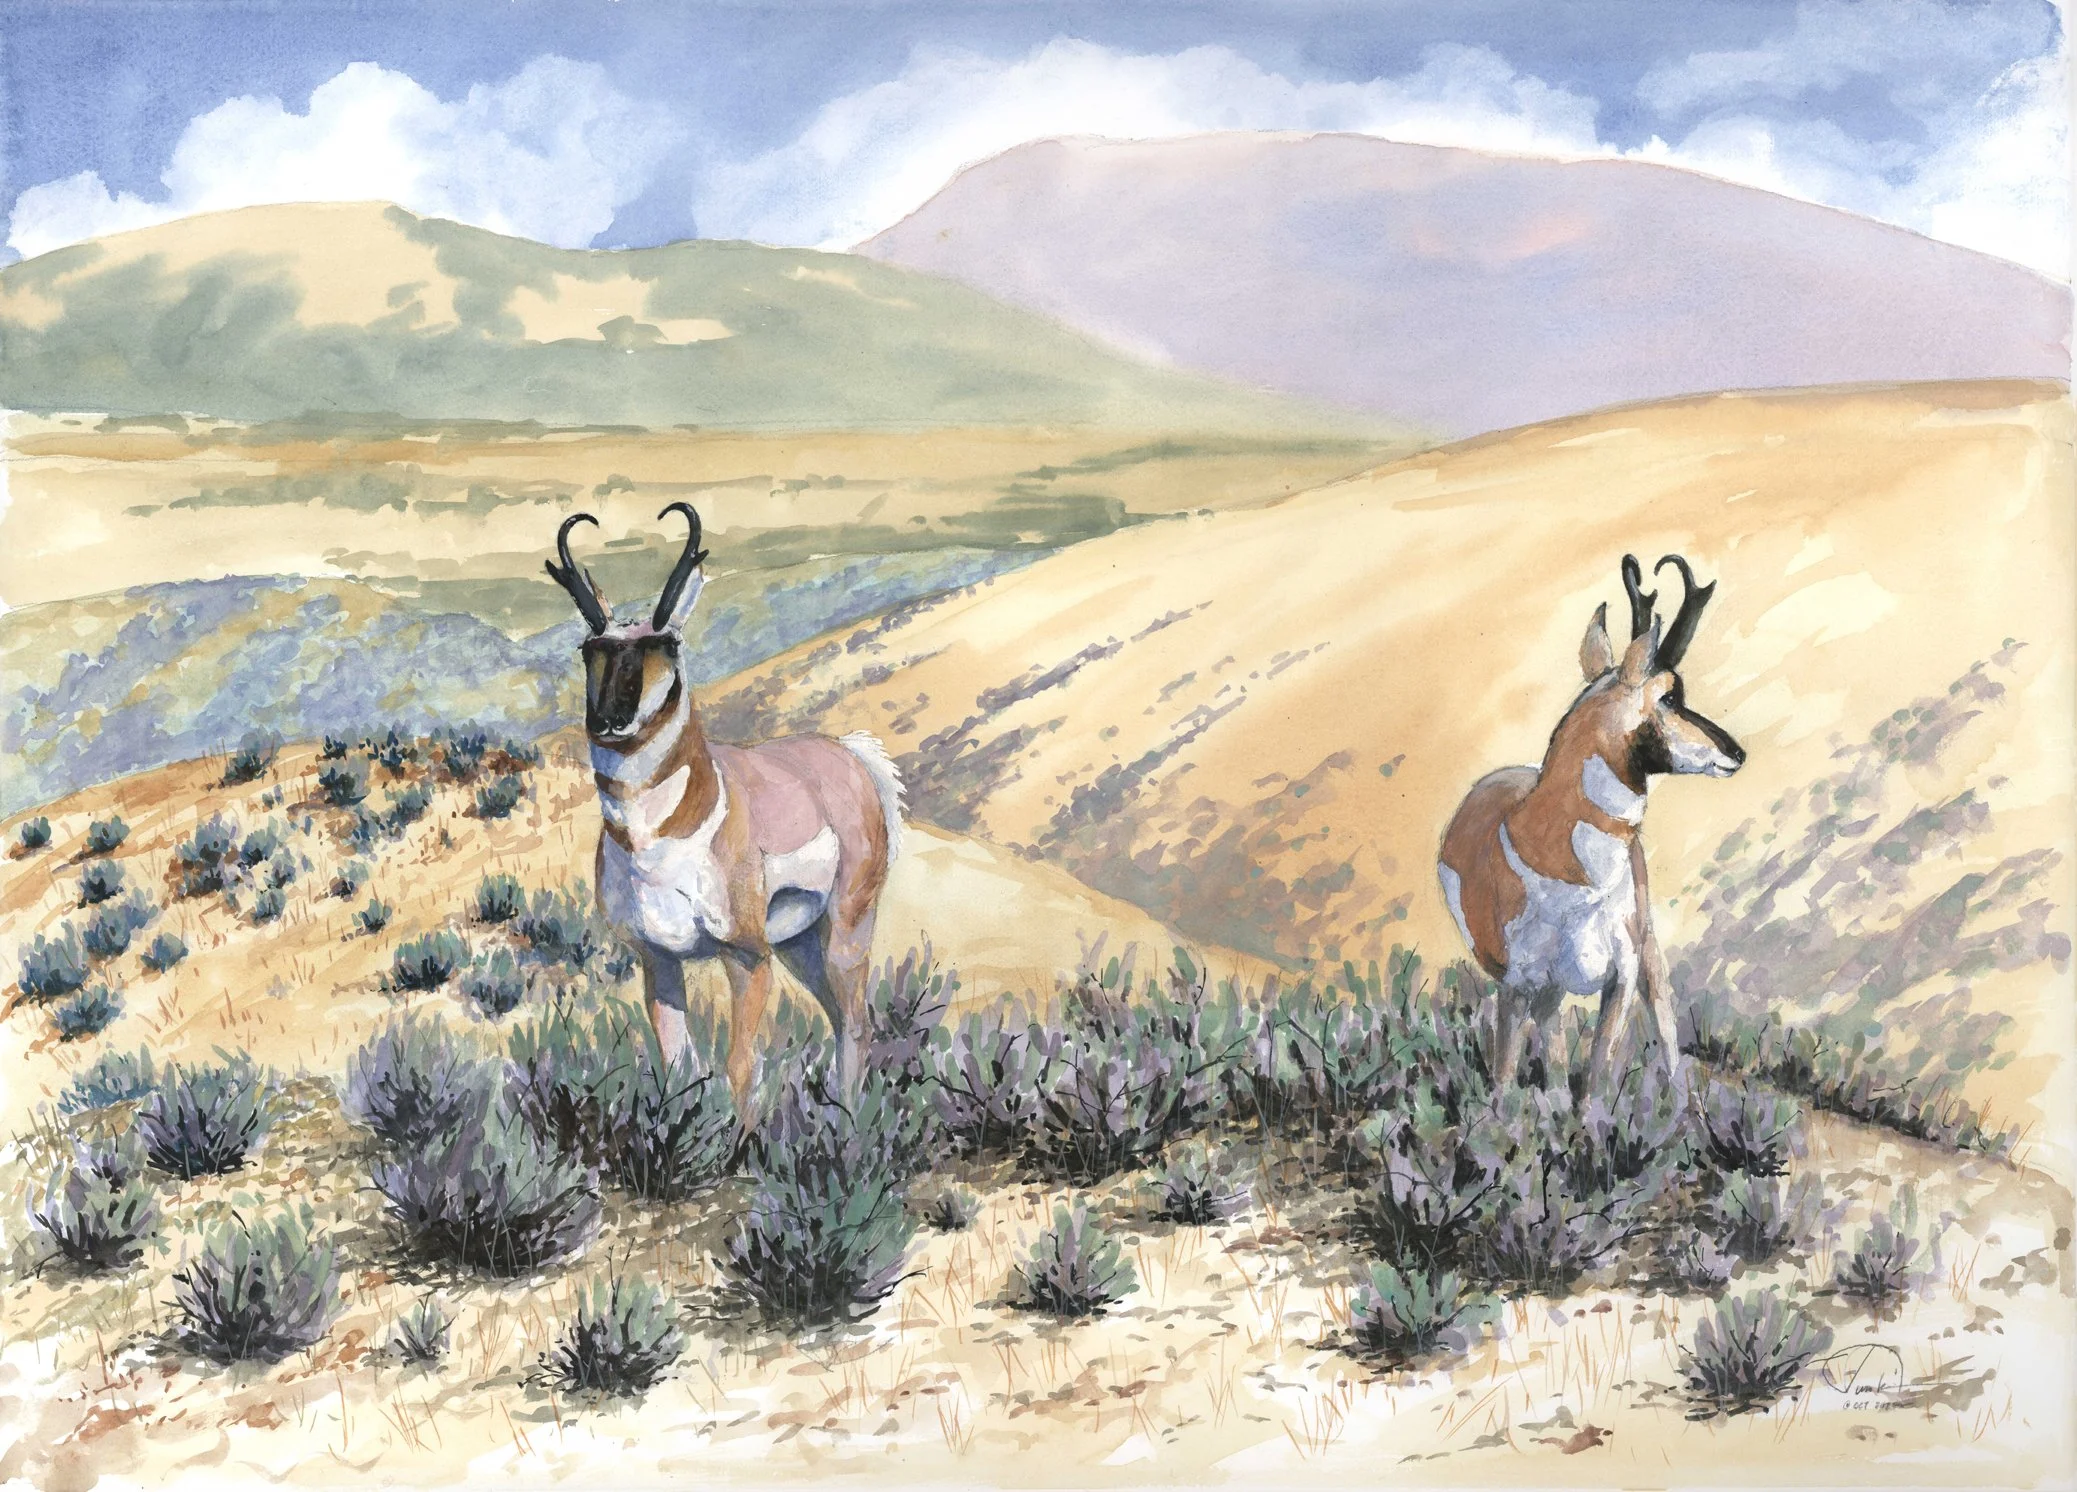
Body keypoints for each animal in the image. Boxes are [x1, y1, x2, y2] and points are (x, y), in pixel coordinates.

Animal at [545, 504, 905, 1110]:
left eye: (668, 645)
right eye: (589, 650)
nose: (609, 720)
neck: (656, 846)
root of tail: (848, 754)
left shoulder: (746, 956)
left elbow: (742, 1066)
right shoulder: (659, 961)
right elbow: (676, 1065)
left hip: (845, 926)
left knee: (856, 1022)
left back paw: (850, 1121)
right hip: (800, 944)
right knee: (839, 1018)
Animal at [1437, 555, 1744, 1093]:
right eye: (1670, 696)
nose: (1737, 752)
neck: (1571, 877)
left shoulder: (1619, 980)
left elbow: (1596, 1080)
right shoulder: (1521, 988)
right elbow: (1511, 1078)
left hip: (1647, 950)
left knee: (1666, 1028)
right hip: (1546, 994)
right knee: (1550, 1056)